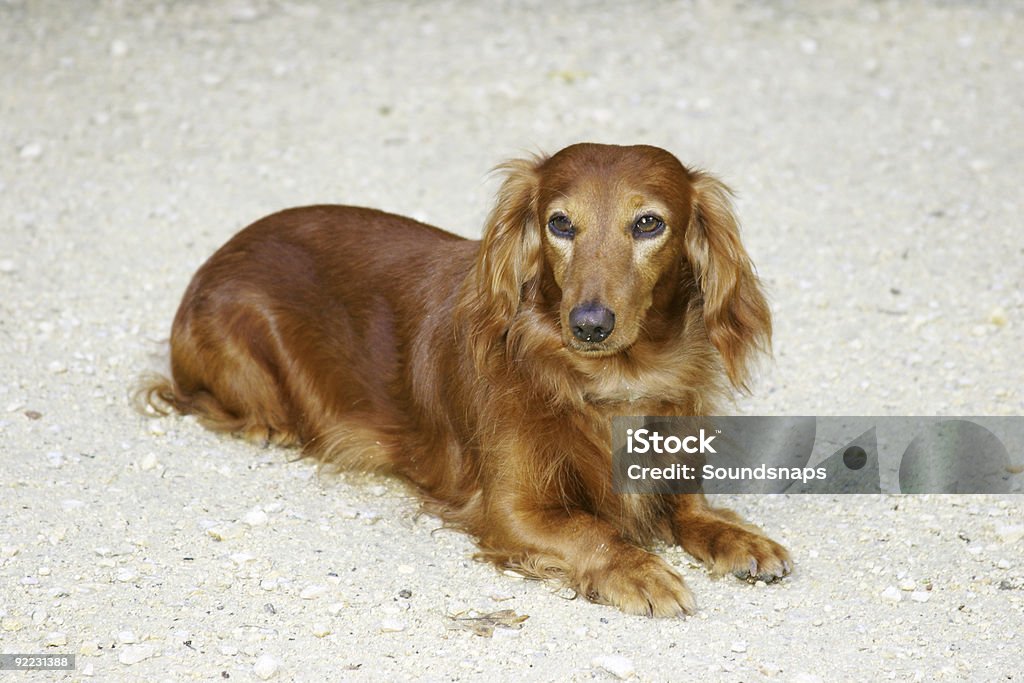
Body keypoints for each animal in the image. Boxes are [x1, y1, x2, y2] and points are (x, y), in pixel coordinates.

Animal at [138, 143, 790, 614]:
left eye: (649, 223)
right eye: (560, 224)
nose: (589, 324)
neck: (608, 383)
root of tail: (221, 253)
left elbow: (696, 512)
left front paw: (740, 539)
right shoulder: (511, 511)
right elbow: (594, 532)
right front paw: (640, 571)